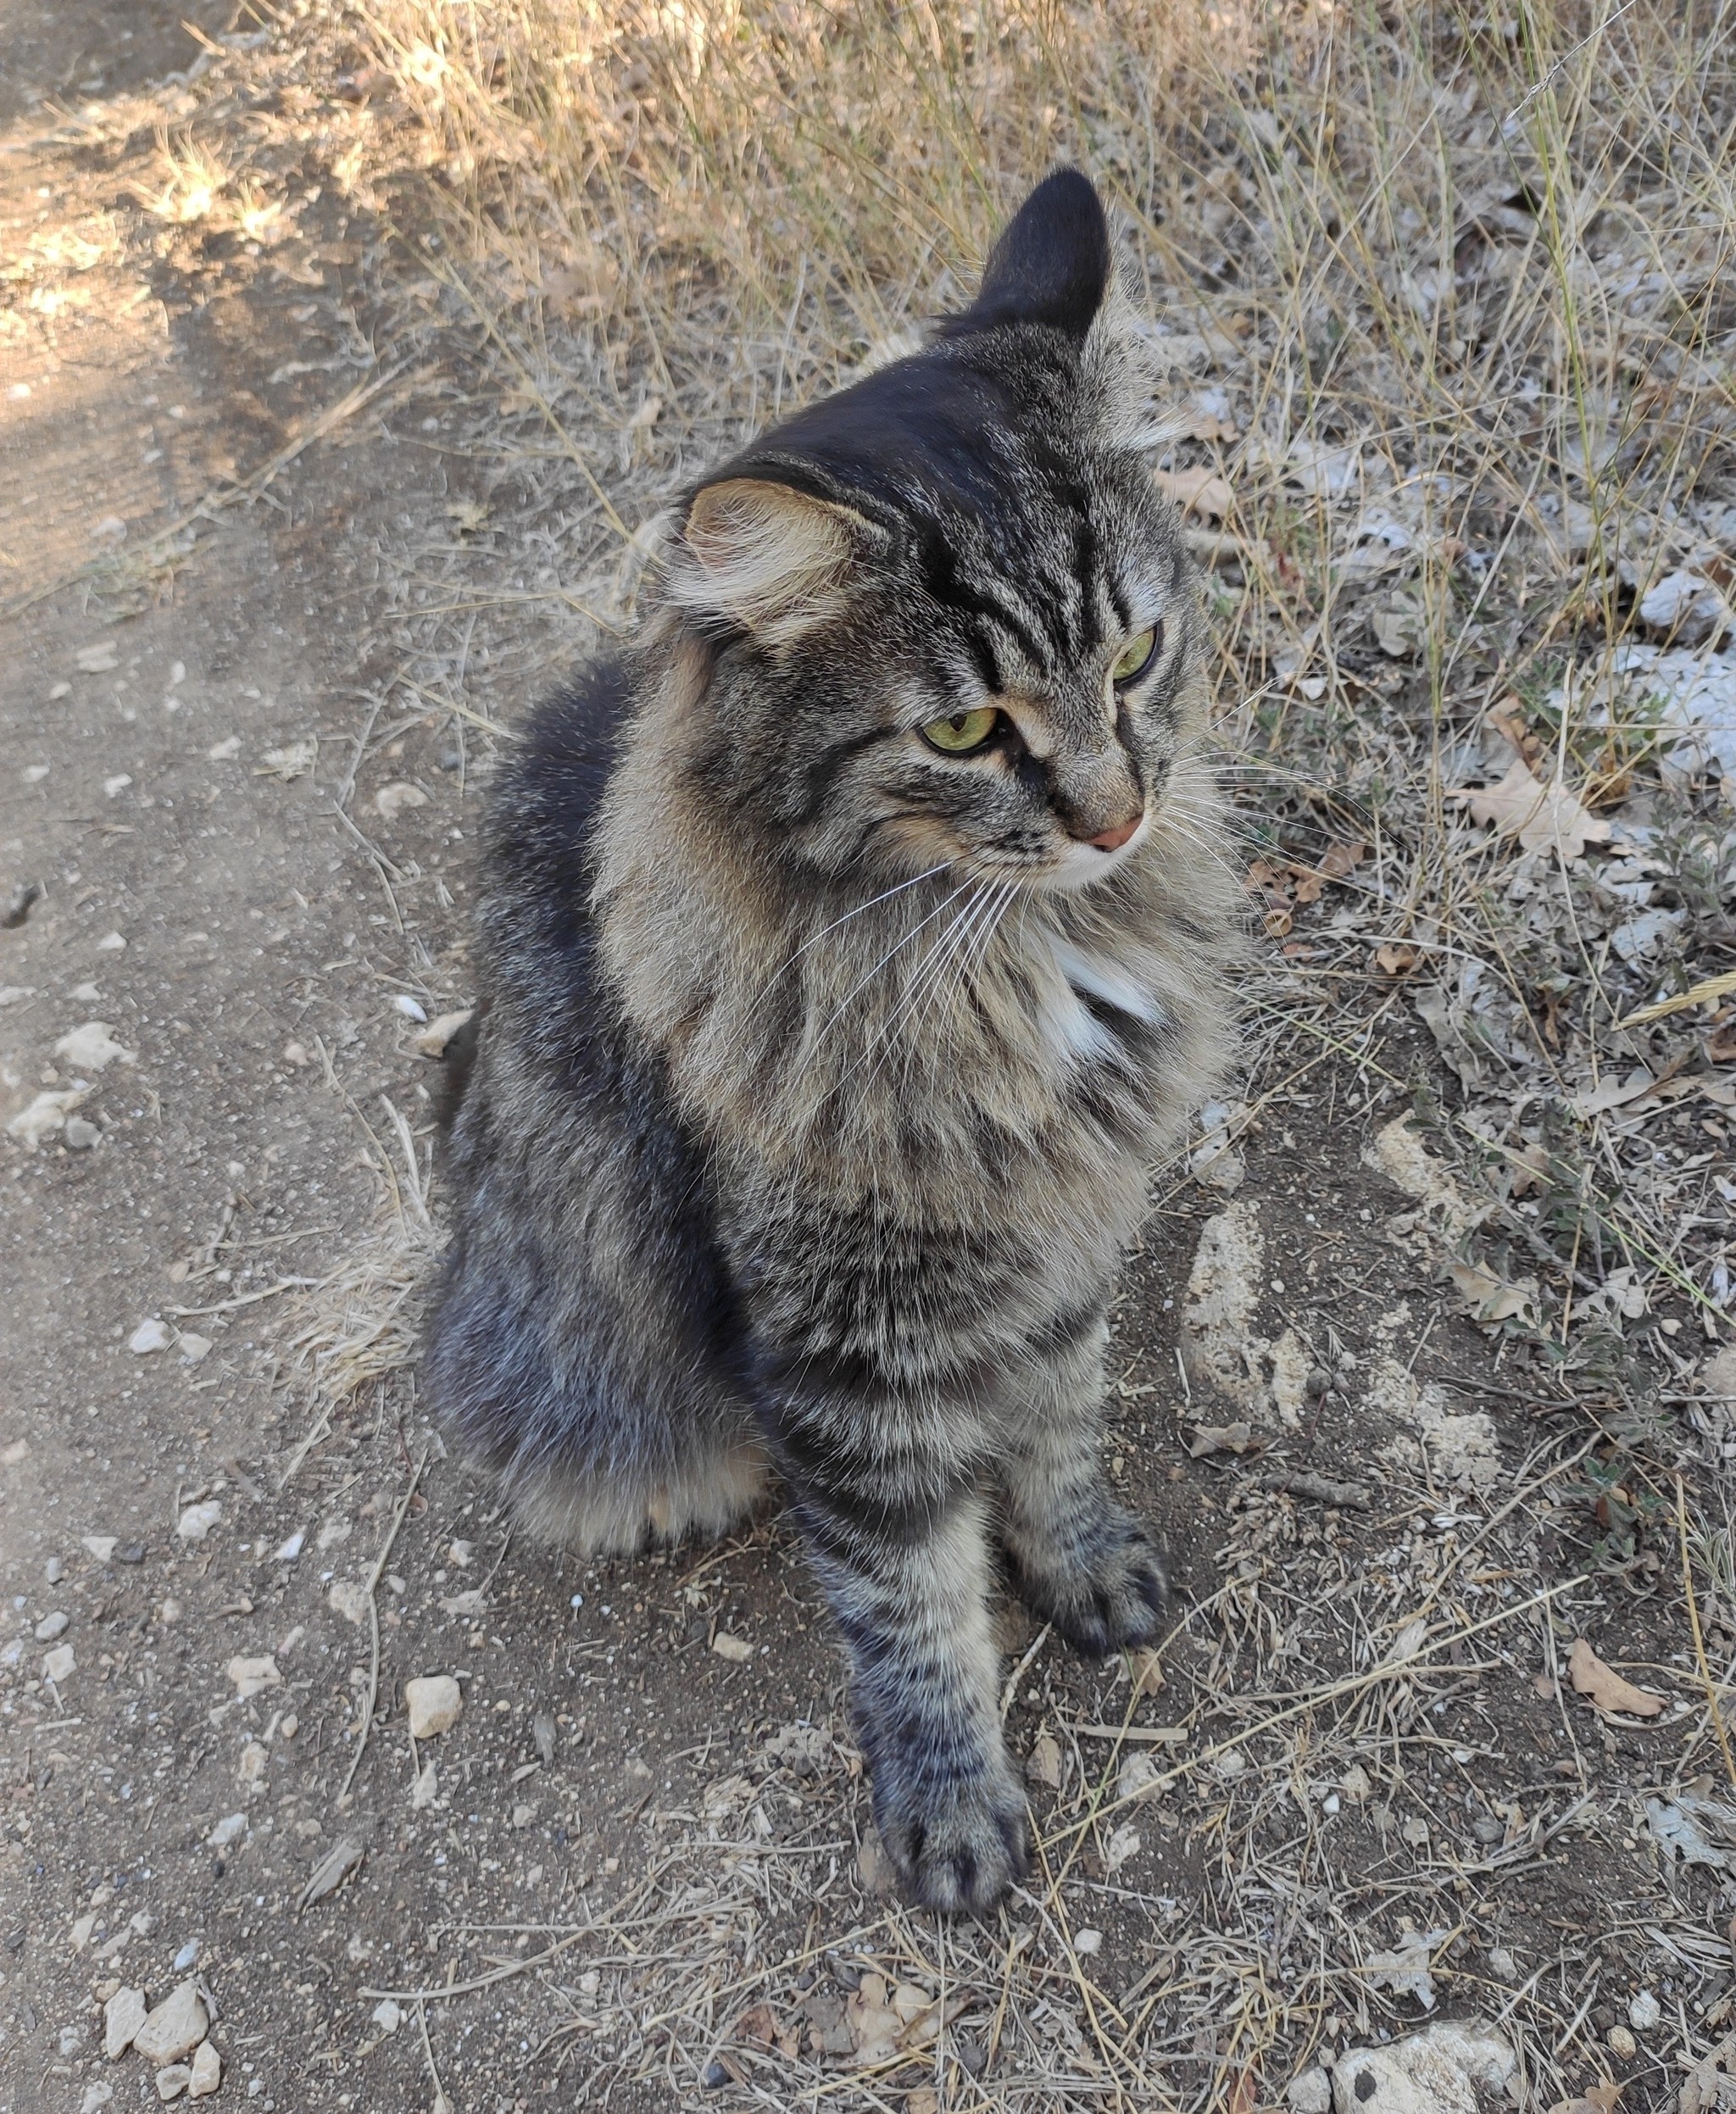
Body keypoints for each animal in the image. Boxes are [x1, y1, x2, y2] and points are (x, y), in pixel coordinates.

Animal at [433, 169, 1243, 1919]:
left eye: (1132, 656)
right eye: (963, 729)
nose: (1114, 816)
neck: (1019, 957)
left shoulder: (1058, 1236)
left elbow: (1057, 1427)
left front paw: (1080, 1563)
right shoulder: (844, 1352)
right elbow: (909, 1601)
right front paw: (951, 1803)